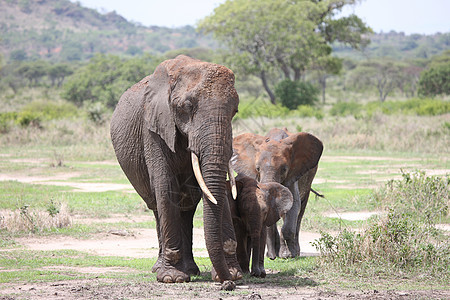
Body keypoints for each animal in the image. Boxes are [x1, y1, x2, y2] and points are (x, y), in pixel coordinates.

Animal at [110, 55, 241, 288]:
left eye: (234, 111)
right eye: (186, 107)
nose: (228, 285)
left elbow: (219, 191)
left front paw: (232, 273)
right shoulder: (153, 127)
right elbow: (165, 185)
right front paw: (172, 278)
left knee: (187, 207)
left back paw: (191, 270)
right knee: (157, 205)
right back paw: (164, 269)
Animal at [230, 127, 322, 258]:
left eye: (284, 169)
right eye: (257, 168)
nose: (272, 256)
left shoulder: (292, 174)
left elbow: (294, 204)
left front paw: (287, 255)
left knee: (301, 211)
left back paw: (295, 252)